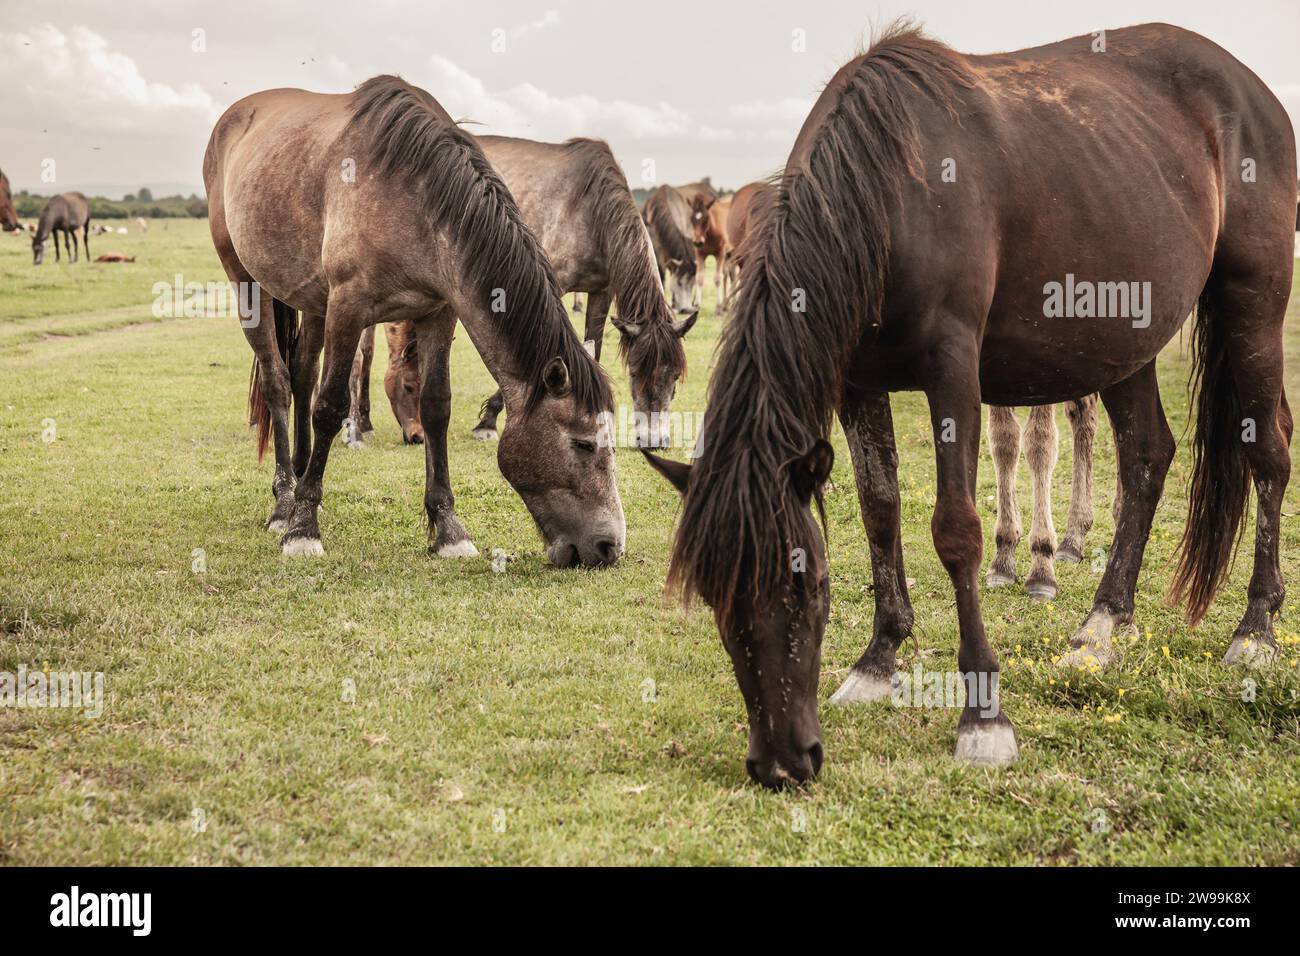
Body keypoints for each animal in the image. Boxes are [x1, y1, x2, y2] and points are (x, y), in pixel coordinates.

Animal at [204, 75, 626, 567]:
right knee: (278, 384)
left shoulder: (438, 312)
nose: (610, 546)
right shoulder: (349, 307)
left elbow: (436, 406)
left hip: (310, 299)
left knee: (303, 374)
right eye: (583, 443)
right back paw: (286, 500)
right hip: (247, 285)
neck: (415, 194)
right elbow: (330, 407)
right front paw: (302, 529)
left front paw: (448, 529)